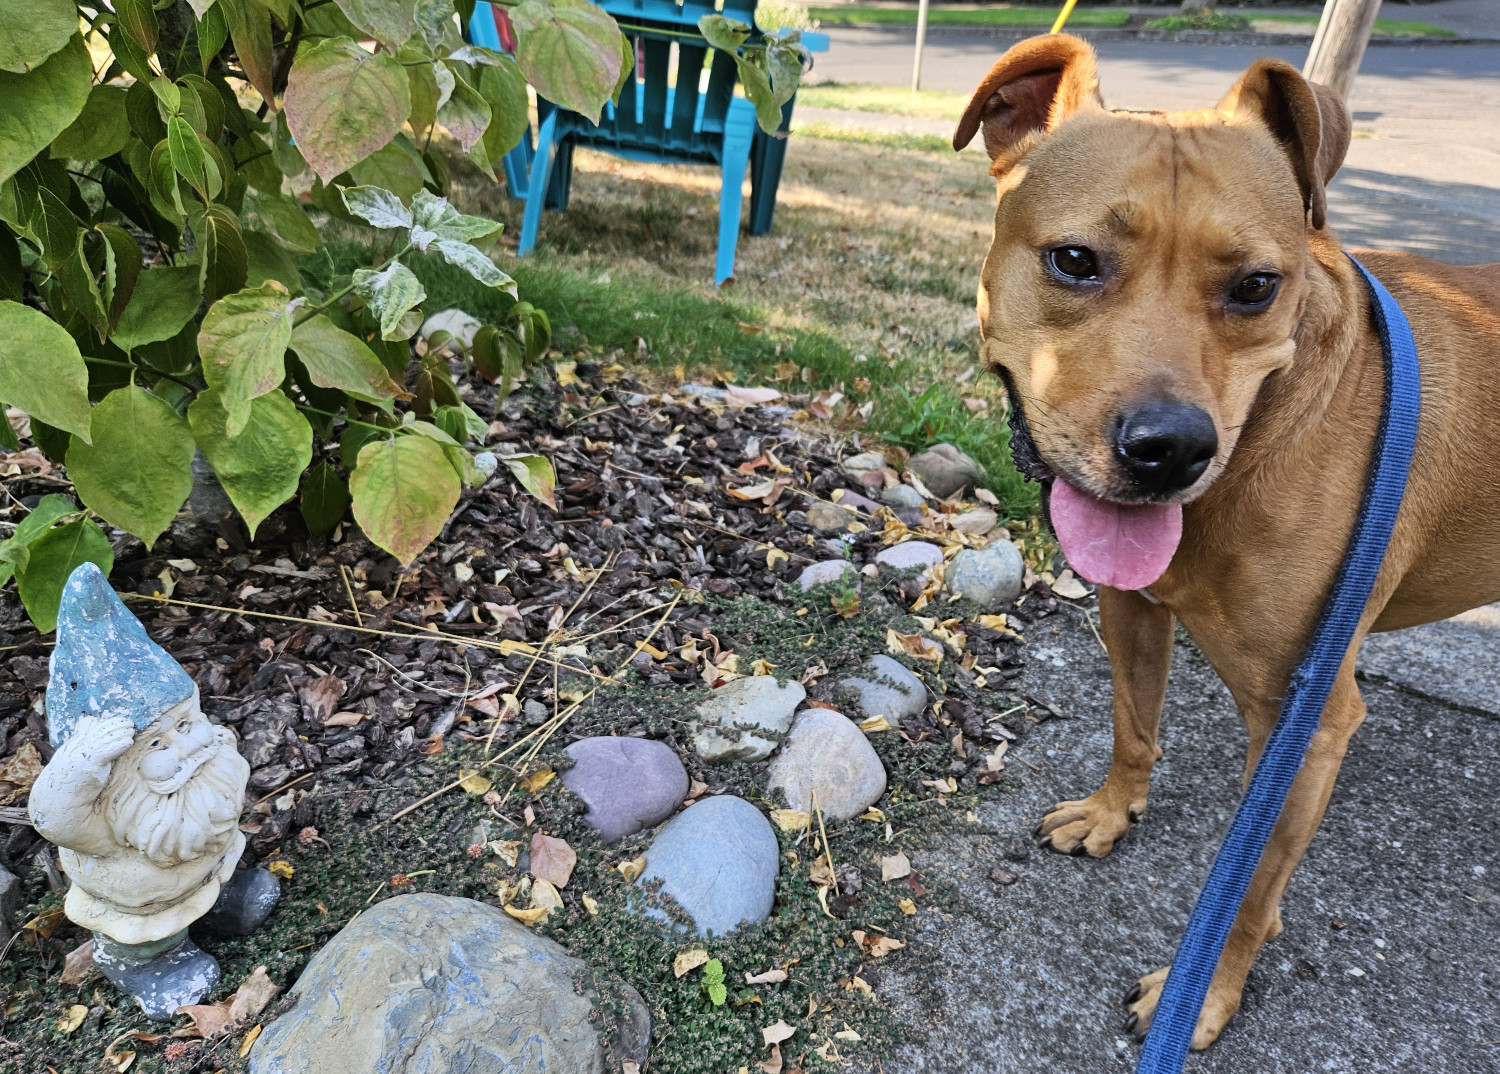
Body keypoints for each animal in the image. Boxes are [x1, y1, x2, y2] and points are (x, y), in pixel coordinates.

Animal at [960, 31, 1500, 1050]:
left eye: (1256, 286)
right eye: (1075, 259)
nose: (1170, 448)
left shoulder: (1308, 728)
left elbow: (1246, 893)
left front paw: (1204, 994)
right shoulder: (1131, 608)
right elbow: (1134, 727)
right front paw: (1113, 813)